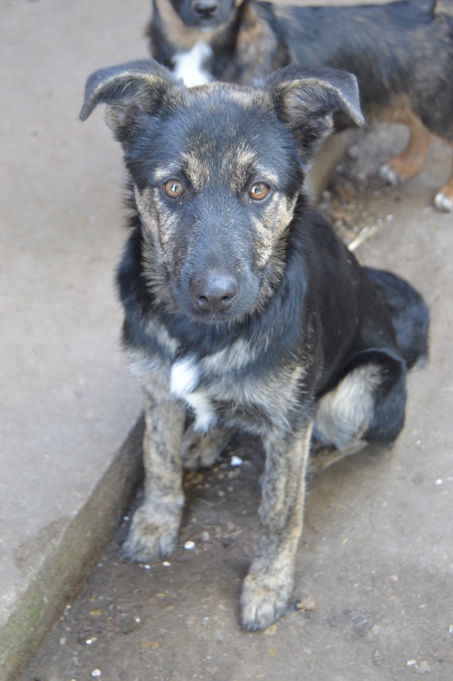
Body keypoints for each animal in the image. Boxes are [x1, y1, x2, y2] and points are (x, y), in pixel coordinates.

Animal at [78, 58, 428, 628]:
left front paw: (268, 584)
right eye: (173, 187)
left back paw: (309, 462)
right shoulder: (156, 386)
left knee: (356, 439)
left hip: (365, 381)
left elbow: (279, 512)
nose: (215, 294)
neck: (203, 333)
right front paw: (155, 521)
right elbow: (157, 458)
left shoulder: (291, 415)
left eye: (259, 191)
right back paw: (207, 440)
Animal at [146, 0, 453, 211]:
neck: (198, 43)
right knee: (418, 128)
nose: (207, 9)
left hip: (436, 108)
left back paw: (447, 193)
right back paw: (404, 166)